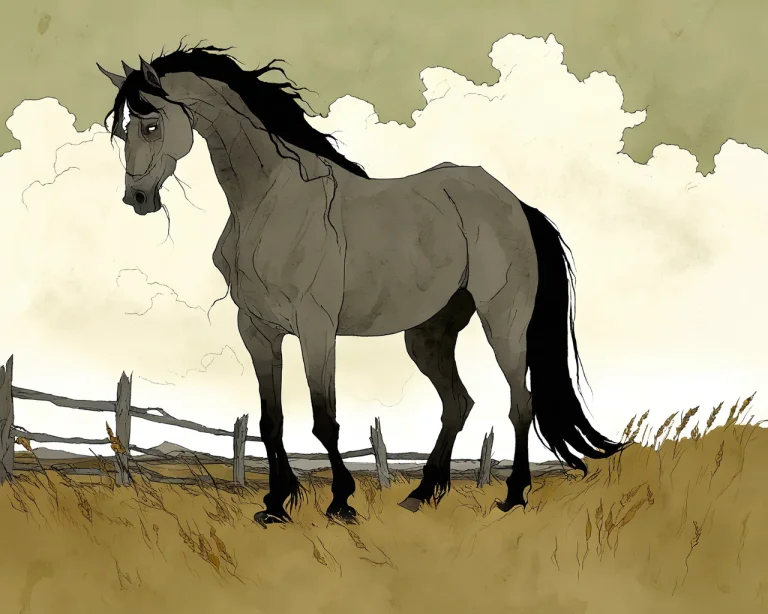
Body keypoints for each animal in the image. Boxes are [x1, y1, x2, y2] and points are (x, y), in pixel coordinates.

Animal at [98, 44, 625, 526]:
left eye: (149, 124)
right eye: (124, 129)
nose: (137, 198)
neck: (272, 201)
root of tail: (515, 204)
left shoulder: (315, 329)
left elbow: (324, 420)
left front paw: (340, 502)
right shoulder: (257, 330)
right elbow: (271, 422)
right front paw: (275, 505)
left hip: (504, 324)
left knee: (520, 404)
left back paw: (513, 496)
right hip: (428, 335)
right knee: (458, 403)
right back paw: (420, 495)